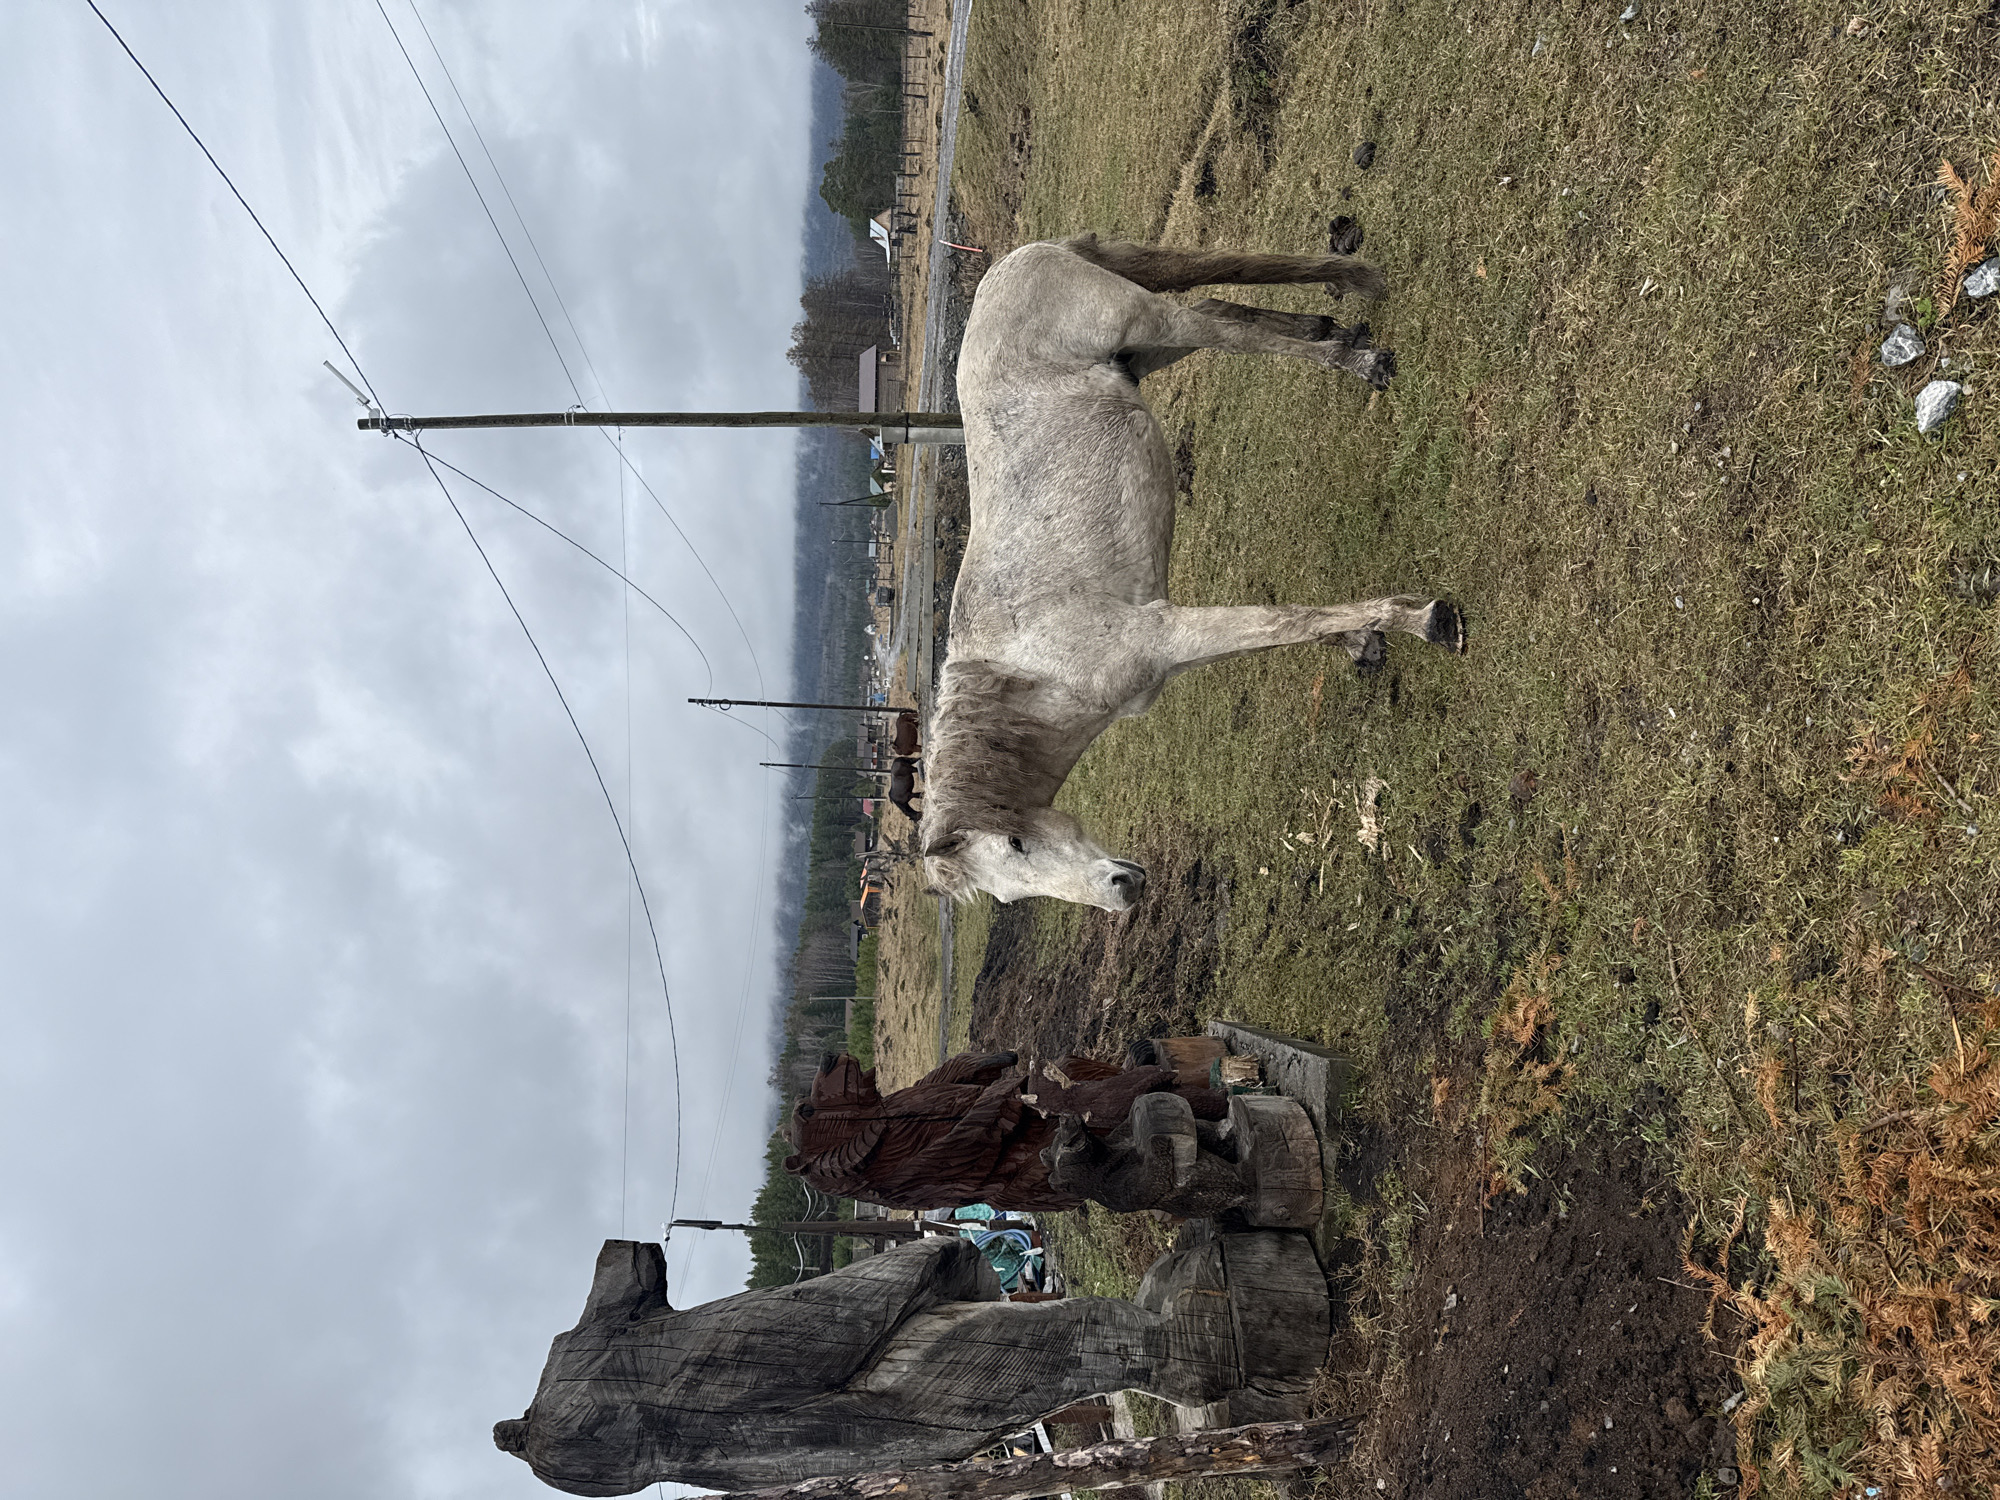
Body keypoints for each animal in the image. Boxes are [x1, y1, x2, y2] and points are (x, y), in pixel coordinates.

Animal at [919, 234, 1466, 911]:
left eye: (1018, 844)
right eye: (1010, 898)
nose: (1123, 892)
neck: (1038, 667)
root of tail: (1019, 257)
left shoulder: (1166, 634)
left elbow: (1281, 621)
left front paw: (1422, 620)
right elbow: (1282, 628)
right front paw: (1363, 642)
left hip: (1153, 322)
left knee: (1221, 325)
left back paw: (1358, 359)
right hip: (1148, 350)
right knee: (1217, 309)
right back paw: (1338, 327)